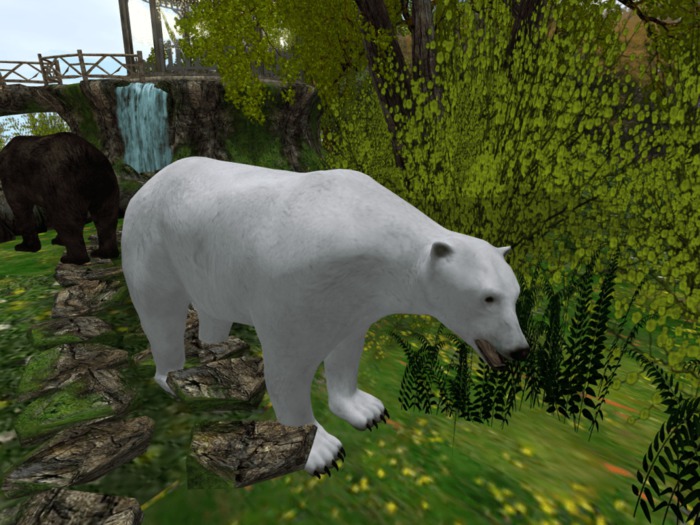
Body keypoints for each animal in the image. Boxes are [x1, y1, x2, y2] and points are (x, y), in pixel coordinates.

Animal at [0, 132, 120, 265]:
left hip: (63, 180)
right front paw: (58, 240)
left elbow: (21, 208)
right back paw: (104, 253)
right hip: (105, 181)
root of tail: (87, 156)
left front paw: (24, 247)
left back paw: (71, 259)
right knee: (106, 216)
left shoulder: (13, 176)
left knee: (66, 218)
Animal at [121, 156, 529, 477]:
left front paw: (367, 410)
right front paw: (321, 451)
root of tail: (153, 179)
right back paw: (171, 374)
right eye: (488, 298)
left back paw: (215, 346)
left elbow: (346, 350)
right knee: (160, 313)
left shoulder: (354, 298)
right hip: (153, 244)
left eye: (515, 296)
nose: (520, 350)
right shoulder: (297, 286)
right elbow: (288, 370)